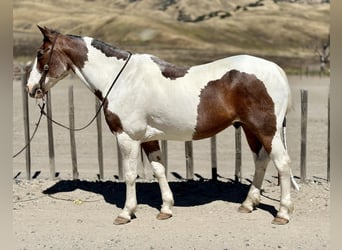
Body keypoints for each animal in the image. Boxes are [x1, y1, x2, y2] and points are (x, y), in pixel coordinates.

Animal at [26, 26, 298, 226]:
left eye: (40, 53)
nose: (31, 88)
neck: (122, 78)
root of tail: (277, 69)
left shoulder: (127, 137)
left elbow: (130, 175)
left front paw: (126, 213)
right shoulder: (148, 138)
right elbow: (159, 170)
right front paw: (166, 208)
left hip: (267, 130)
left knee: (282, 164)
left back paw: (283, 213)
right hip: (251, 129)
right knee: (261, 161)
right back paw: (247, 204)